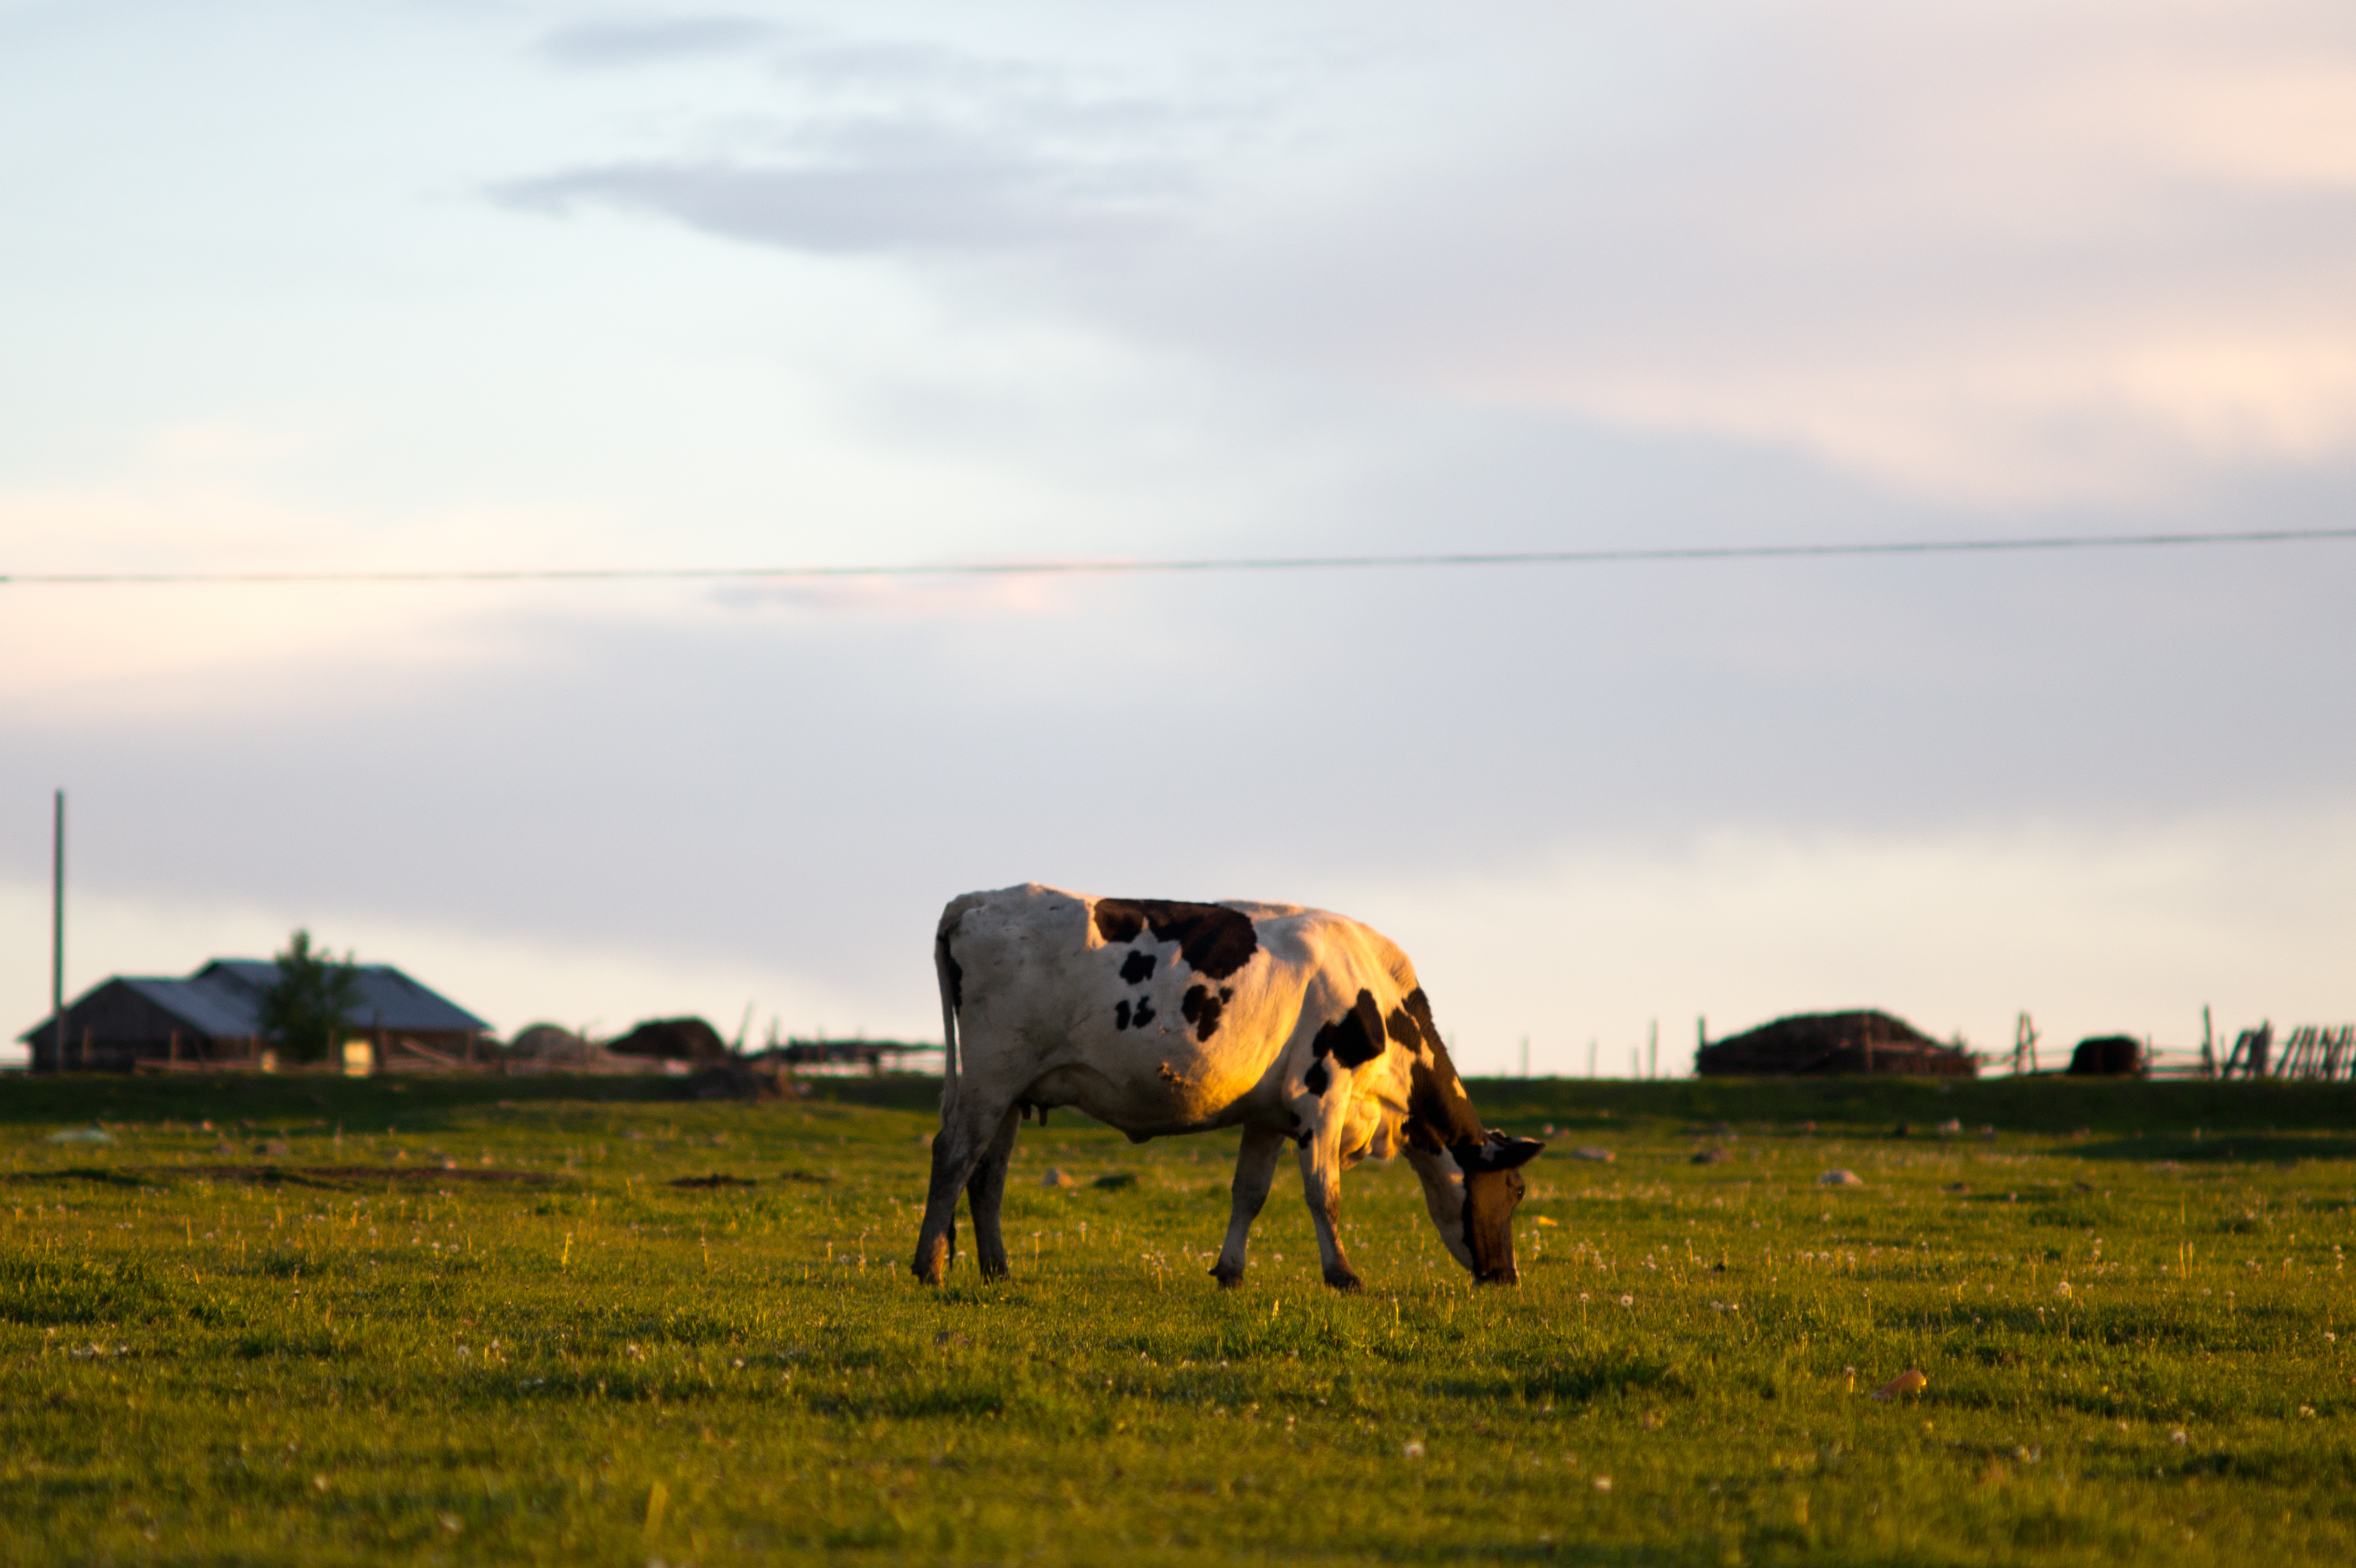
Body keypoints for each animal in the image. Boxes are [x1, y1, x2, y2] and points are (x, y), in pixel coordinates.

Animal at [904, 885, 1545, 1290]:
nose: (1507, 1277)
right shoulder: (1322, 1094)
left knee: (987, 1174)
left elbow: (1249, 1192)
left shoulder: (1267, 1113)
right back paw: (929, 1266)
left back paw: (999, 1270)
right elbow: (1324, 1192)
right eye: (1515, 1190)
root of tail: (981, 898)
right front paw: (1342, 1274)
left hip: (1013, 1089)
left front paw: (1230, 1271)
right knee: (954, 1155)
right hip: (990, 1074)